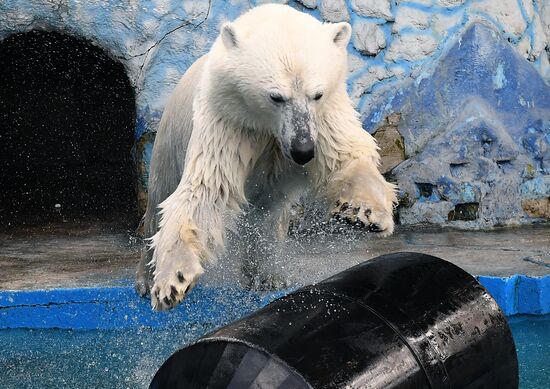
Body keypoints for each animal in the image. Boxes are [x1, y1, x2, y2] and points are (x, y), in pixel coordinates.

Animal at [136, 3, 398, 310]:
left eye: (317, 94)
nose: (303, 150)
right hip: (169, 140)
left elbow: (346, 160)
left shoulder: (324, 119)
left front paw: (366, 214)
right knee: (159, 199)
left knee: (268, 215)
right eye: (276, 96)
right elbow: (208, 189)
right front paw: (173, 281)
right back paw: (146, 279)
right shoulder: (230, 121)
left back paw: (267, 275)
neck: (267, 125)